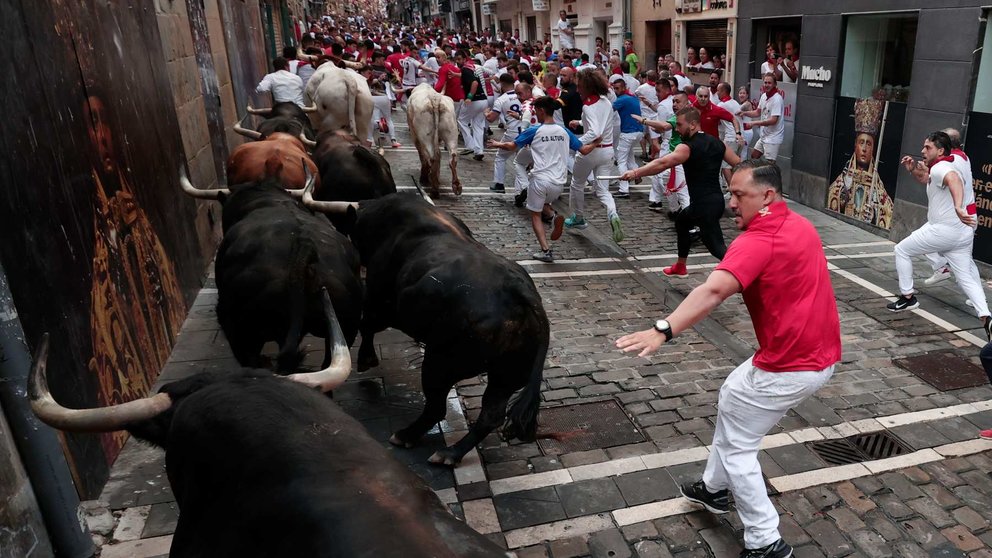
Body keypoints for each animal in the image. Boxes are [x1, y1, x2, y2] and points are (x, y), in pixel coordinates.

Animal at [302, 194, 552, 468]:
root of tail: (521, 292)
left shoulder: (379, 302)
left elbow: (366, 326)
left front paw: (367, 359)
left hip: (440, 362)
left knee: (436, 407)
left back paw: (407, 436)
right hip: (505, 377)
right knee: (490, 415)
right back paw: (451, 452)